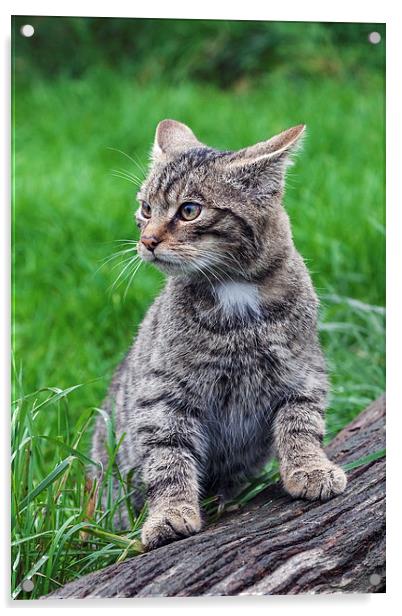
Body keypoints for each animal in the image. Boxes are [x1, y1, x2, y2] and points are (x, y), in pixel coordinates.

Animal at [90, 118, 346, 552]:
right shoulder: (164, 394)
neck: (234, 292)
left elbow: (301, 424)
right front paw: (170, 513)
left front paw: (310, 468)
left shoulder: (303, 370)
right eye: (146, 209)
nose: (147, 240)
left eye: (189, 210)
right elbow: (168, 457)